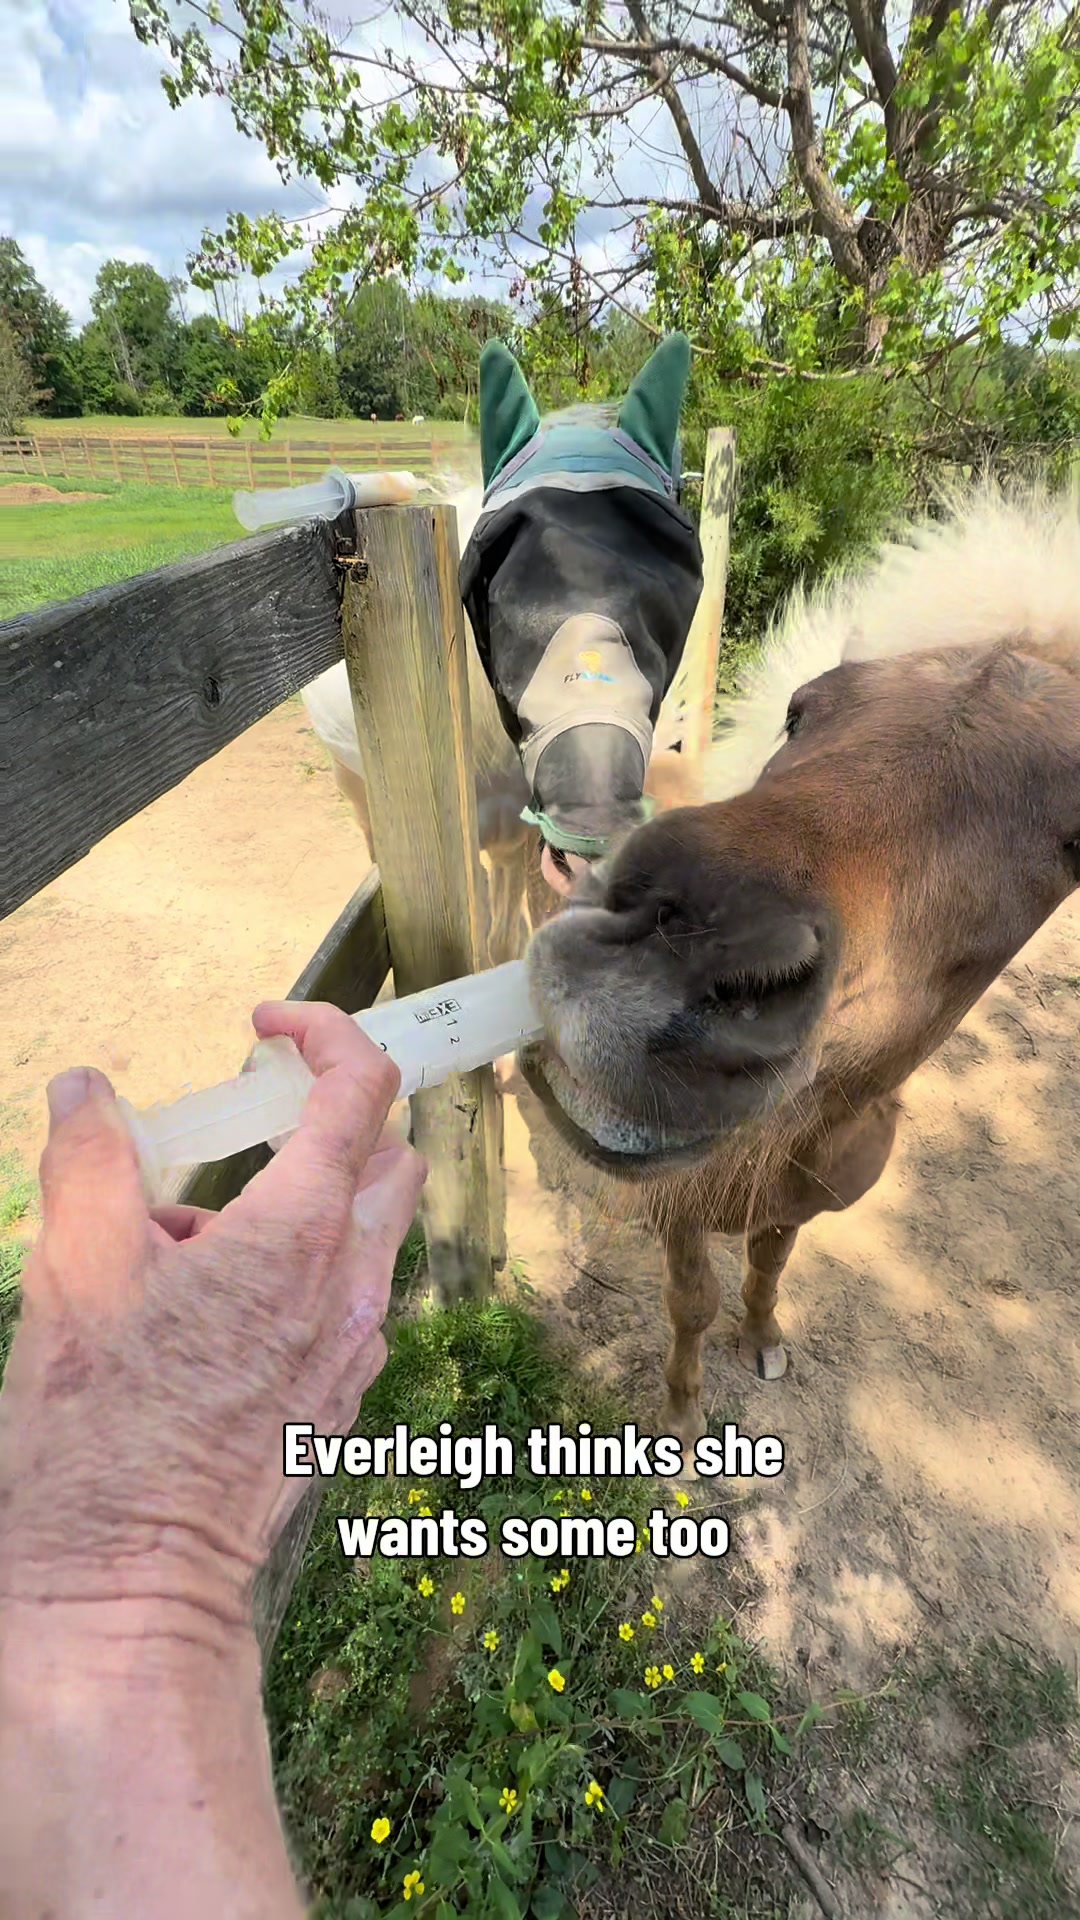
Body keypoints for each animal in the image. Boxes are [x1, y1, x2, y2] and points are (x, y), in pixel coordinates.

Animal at [519, 484, 1080, 1461]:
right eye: (803, 708)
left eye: (1078, 839)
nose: (668, 938)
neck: (810, 1126)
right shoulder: (679, 1214)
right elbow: (691, 1302)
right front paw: (683, 1417)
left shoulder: (794, 1206)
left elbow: (770, 1263)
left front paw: (765, 1338)